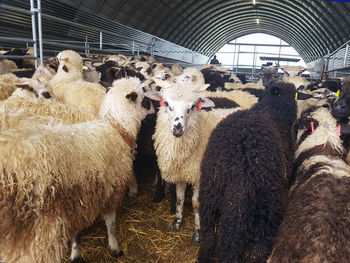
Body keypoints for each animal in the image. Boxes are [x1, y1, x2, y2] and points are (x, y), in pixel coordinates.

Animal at [0, 77, 154, 263]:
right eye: (145, 99)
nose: (155, 112)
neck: (117, 127)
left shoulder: (79, 200)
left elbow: (77, 234)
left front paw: (75, 254)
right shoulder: (113, 190)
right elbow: (110, 223)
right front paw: (114, 247)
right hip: (37, 233)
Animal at [144, 79, 241, 244]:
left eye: (192, 107)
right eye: (167, 104)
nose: (178, 128)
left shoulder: (198, 175)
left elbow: (196, 203)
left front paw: (197, 232)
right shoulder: (181, 174)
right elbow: (179, 199)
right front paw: (177, 222)